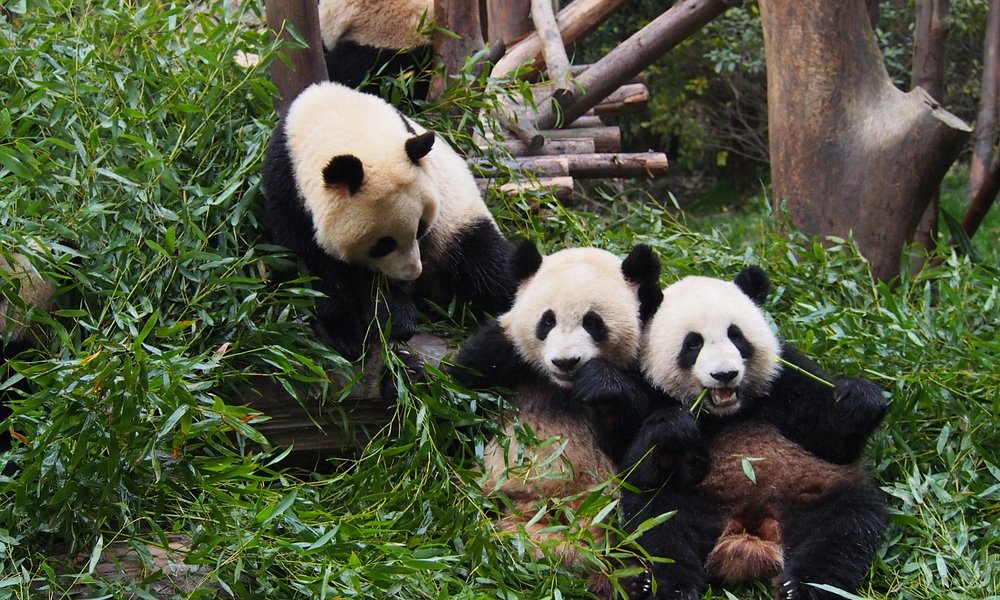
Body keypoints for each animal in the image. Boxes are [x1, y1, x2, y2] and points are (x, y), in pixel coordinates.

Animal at [261, 81, 513, 362]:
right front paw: (344, 333)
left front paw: (395, 321)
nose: (412, 274)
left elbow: (376, 286)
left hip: (458, 221)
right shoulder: (287, 189)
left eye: (421, 228)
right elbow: (312, 267)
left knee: (489, 265)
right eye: (383, 244)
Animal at [452, 241, 662, 598]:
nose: (566, 362)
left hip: (604, 505)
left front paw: (601, 386)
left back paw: (630, 577)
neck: (561, 388)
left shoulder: (642, 368)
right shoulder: (501, 352)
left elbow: (637, 445)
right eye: (547, 321)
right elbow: (455, 402)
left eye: (593, 322)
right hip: (497, 499)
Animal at [621, 266, 888, 600]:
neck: (726, 413)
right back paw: (671, 586)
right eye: (693, 344)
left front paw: (858, 399)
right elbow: (637, 466)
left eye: (736, 336)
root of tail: (752, 524)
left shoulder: (784, 376)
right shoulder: (645, 386)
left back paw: (801, 587)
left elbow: (831, 442)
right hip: (700, 502)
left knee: (847, 527)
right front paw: (674, 428)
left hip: (812, 496)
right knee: (661, 521)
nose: (725, 374)